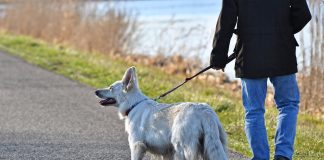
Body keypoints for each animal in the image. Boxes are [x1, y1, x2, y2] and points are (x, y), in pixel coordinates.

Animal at [95, 66, 228, 160]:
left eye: (111, 88)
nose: (96, 91)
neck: (133, 104)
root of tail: (205, 111)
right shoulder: (166, 152)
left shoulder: (137, 145)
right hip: (212, 146)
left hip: (181, 147)